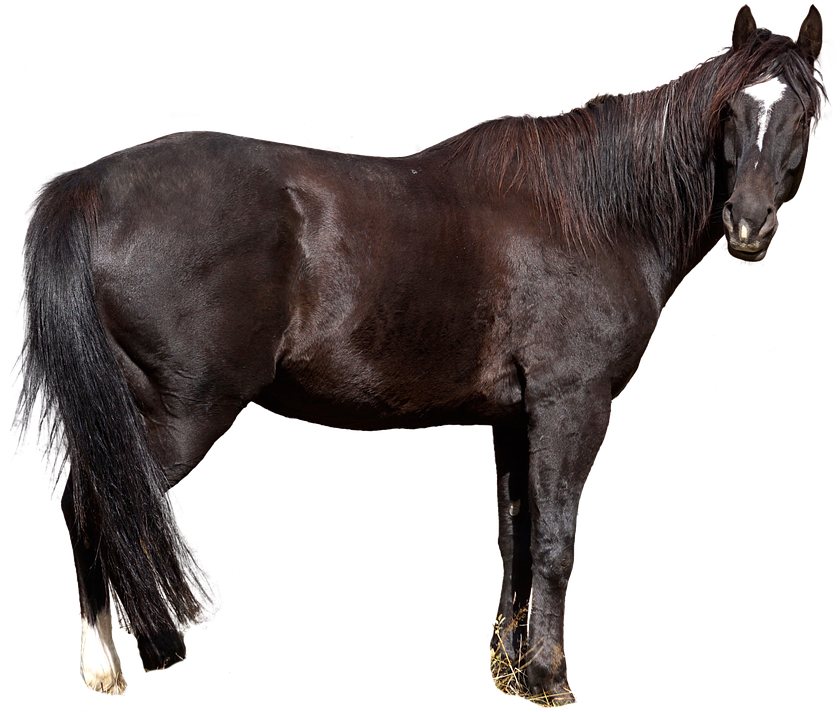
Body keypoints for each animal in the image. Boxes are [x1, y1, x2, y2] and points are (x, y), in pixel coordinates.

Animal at [11, 4, 828, 705]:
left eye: (806, 109)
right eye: (732, 110)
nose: (749, 224)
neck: (595, 214)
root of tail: (85, 187)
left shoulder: (514, 417)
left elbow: (514, 535)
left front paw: (509, 665)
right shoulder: (572, 404)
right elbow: (555, 538)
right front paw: (548, 677)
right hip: (181, 409)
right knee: (102, 504)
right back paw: (109, 663)